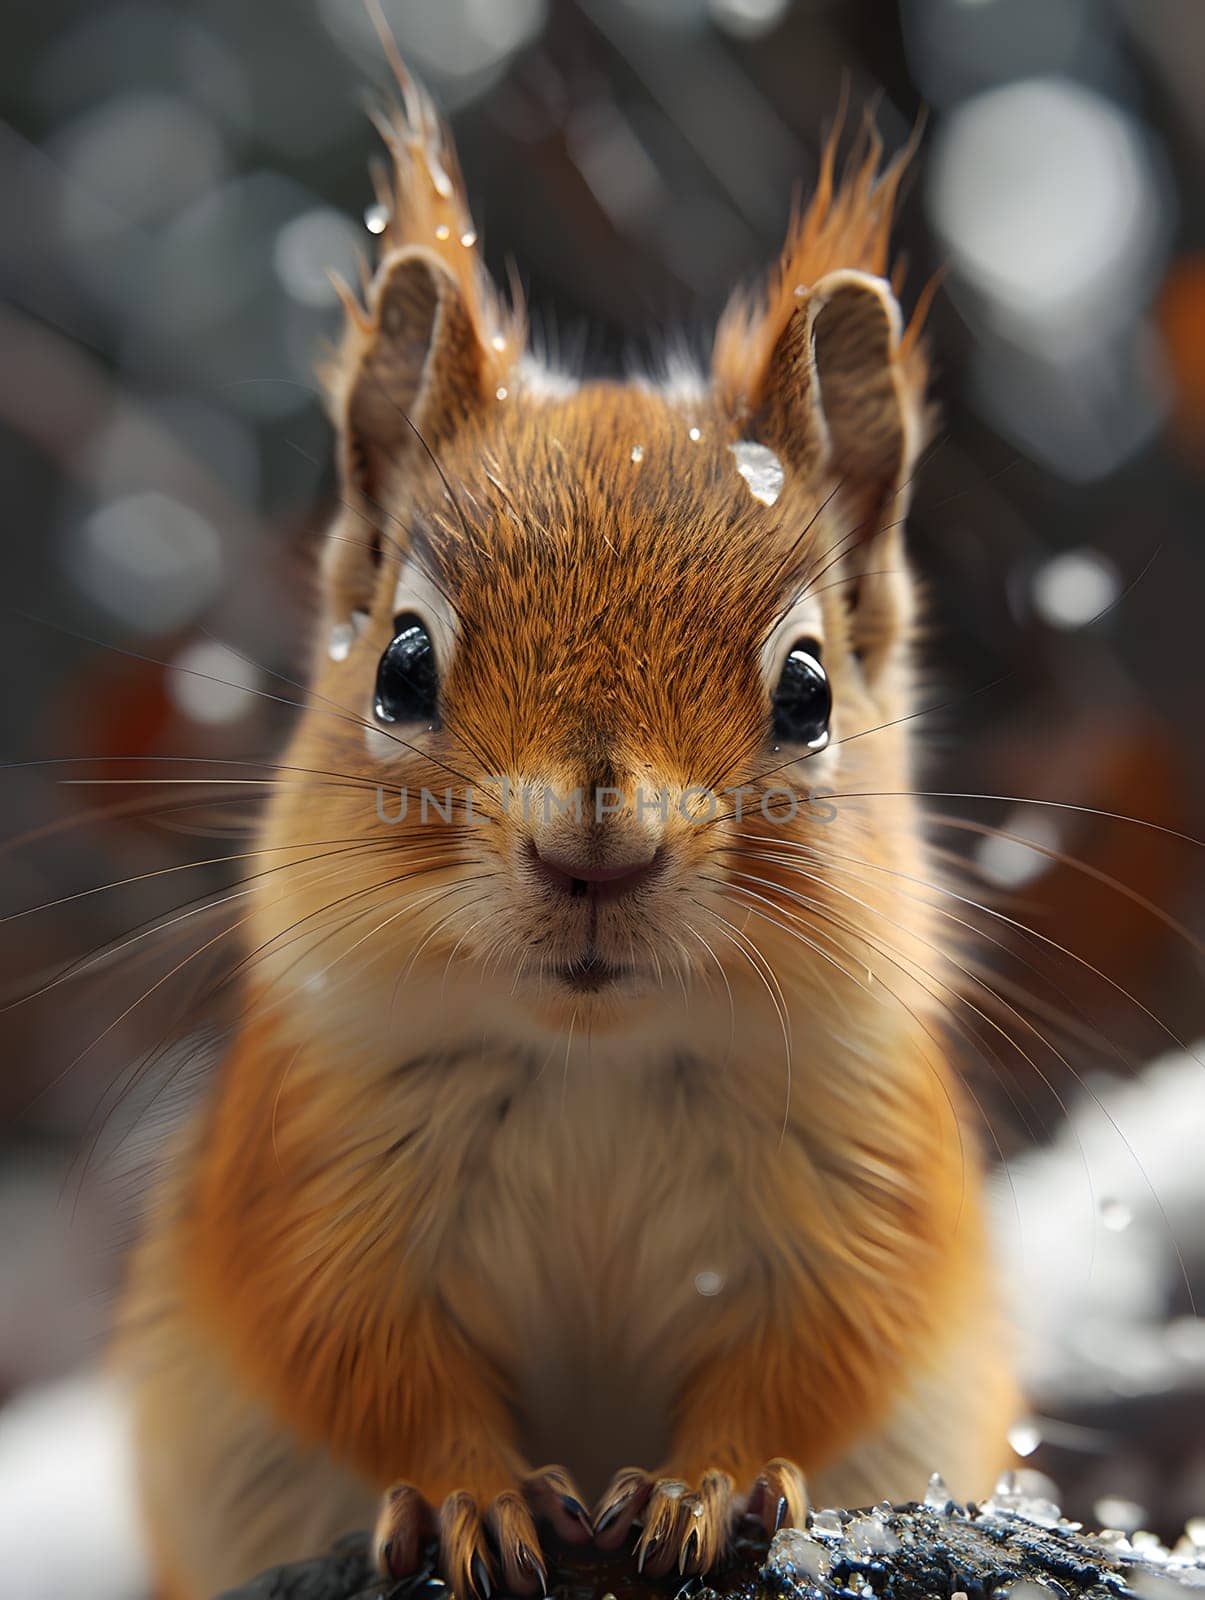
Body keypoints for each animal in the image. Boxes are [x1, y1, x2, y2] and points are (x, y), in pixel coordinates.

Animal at [115, 31, 1017, 1600]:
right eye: (403, 664)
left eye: (807, 691)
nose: (597, 847)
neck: (594, 1061)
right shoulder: (307, 1179)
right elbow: (365, 1360)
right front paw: (466, 1494)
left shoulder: (864, 1181)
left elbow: (813, 1358)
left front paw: (712, 1482)